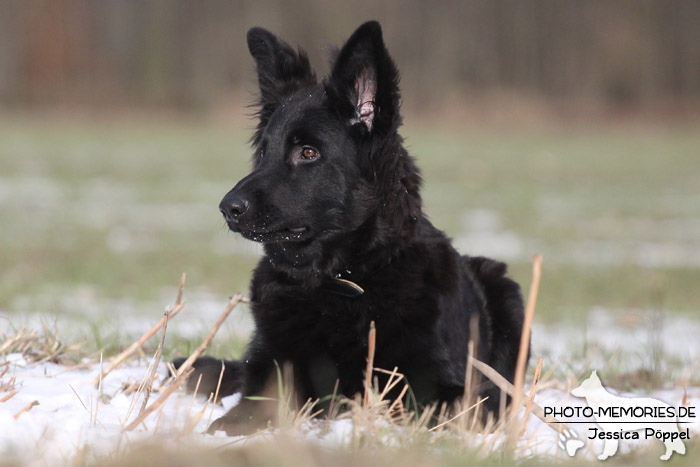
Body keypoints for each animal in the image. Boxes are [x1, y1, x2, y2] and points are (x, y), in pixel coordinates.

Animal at [178, 20, 528, 436]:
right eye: (263, 152)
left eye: (308, 152)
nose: (228, 208)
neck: (342, 281)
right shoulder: (268, 380)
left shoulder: (447, 392)